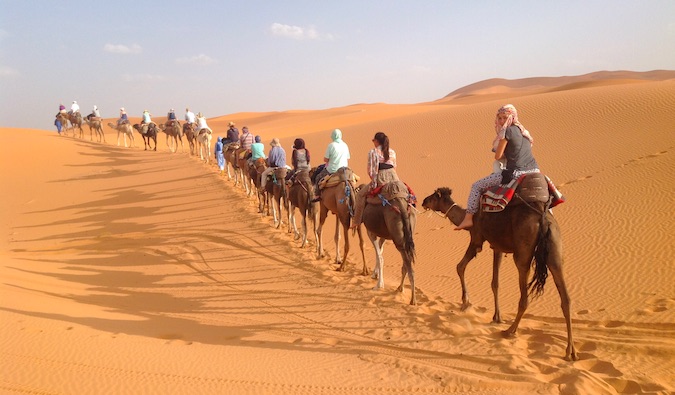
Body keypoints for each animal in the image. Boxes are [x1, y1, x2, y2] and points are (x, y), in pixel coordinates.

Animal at [422, 187, 576, 360]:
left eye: (433, 197)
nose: (423, 201)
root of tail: (543, 220)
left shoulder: (476, 239)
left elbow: (460, 267)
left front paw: (466, 302)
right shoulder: (497, 247)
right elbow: (495, 283)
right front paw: (497, 317)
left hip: (523, 252)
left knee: (524, 296)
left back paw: (510, 331)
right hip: (555, 249)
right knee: (565, 298)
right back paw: (570, 351)